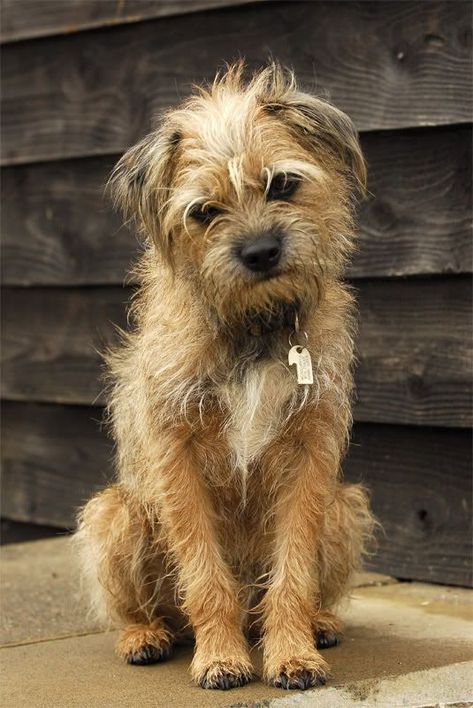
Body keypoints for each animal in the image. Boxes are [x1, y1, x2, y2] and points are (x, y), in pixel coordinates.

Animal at [75, 62, 374, 692]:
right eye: (203, 212)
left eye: (282, 184)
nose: (260, 251)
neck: (255, 325)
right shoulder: (176, 453)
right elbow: (204, 572)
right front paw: (219, 657)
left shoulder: (311, 452)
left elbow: (292, 570)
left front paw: (293, 653)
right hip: (113, 515)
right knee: (143, 607)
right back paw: (145, 635)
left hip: (344, 506)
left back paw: (319, 622)